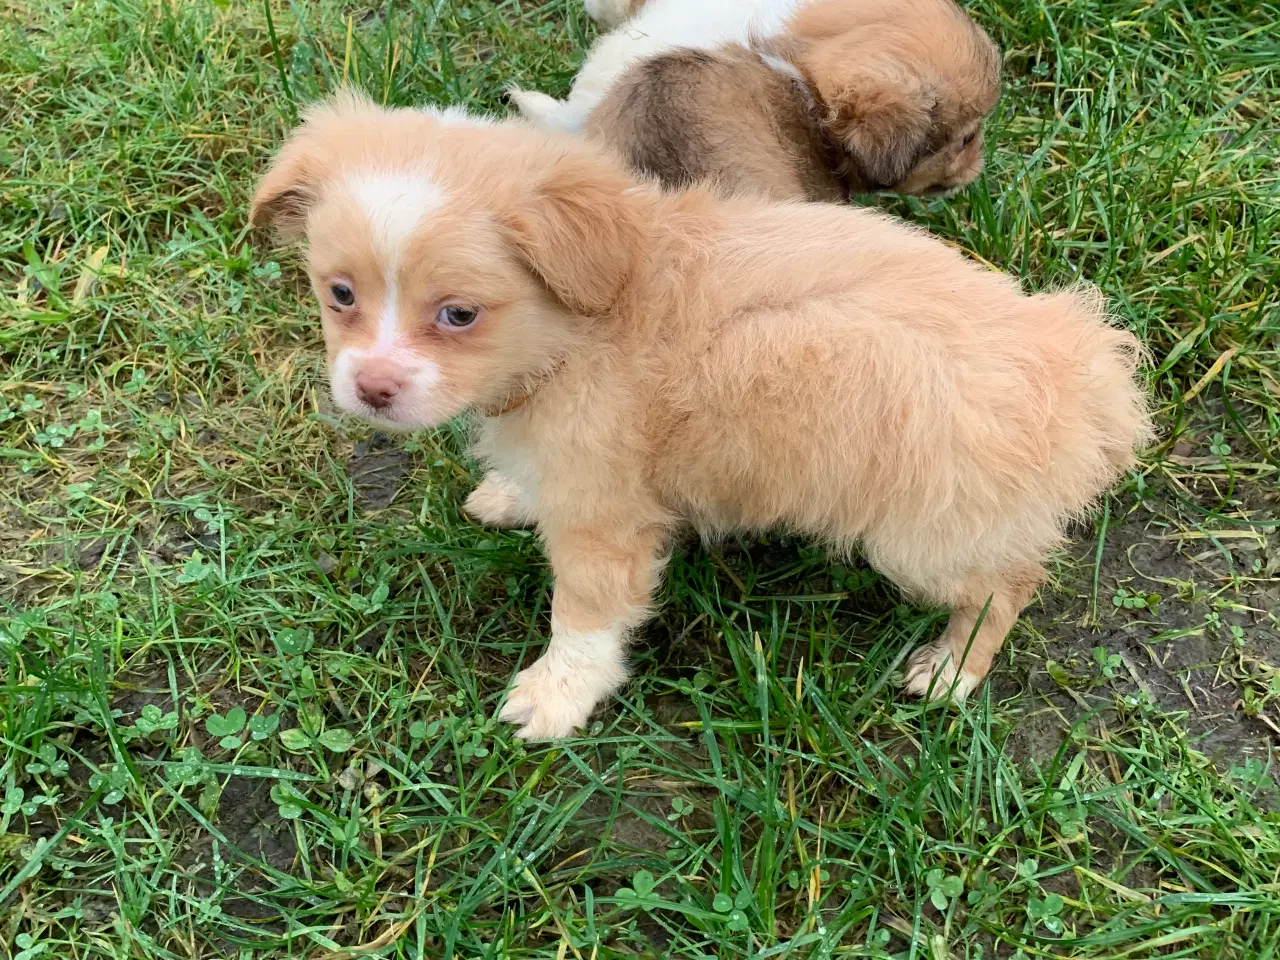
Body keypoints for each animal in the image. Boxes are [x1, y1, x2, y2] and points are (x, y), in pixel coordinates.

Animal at [249, 94, 1152, 742]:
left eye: (460, 315)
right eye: (340, 294)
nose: (372, 388)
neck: (585, 326)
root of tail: (1081, 370)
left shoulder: (606, 521)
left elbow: (582, 618)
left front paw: (554, 699)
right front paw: (508, 493)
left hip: (920, 538)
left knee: (1009, 583)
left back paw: (951, 667)